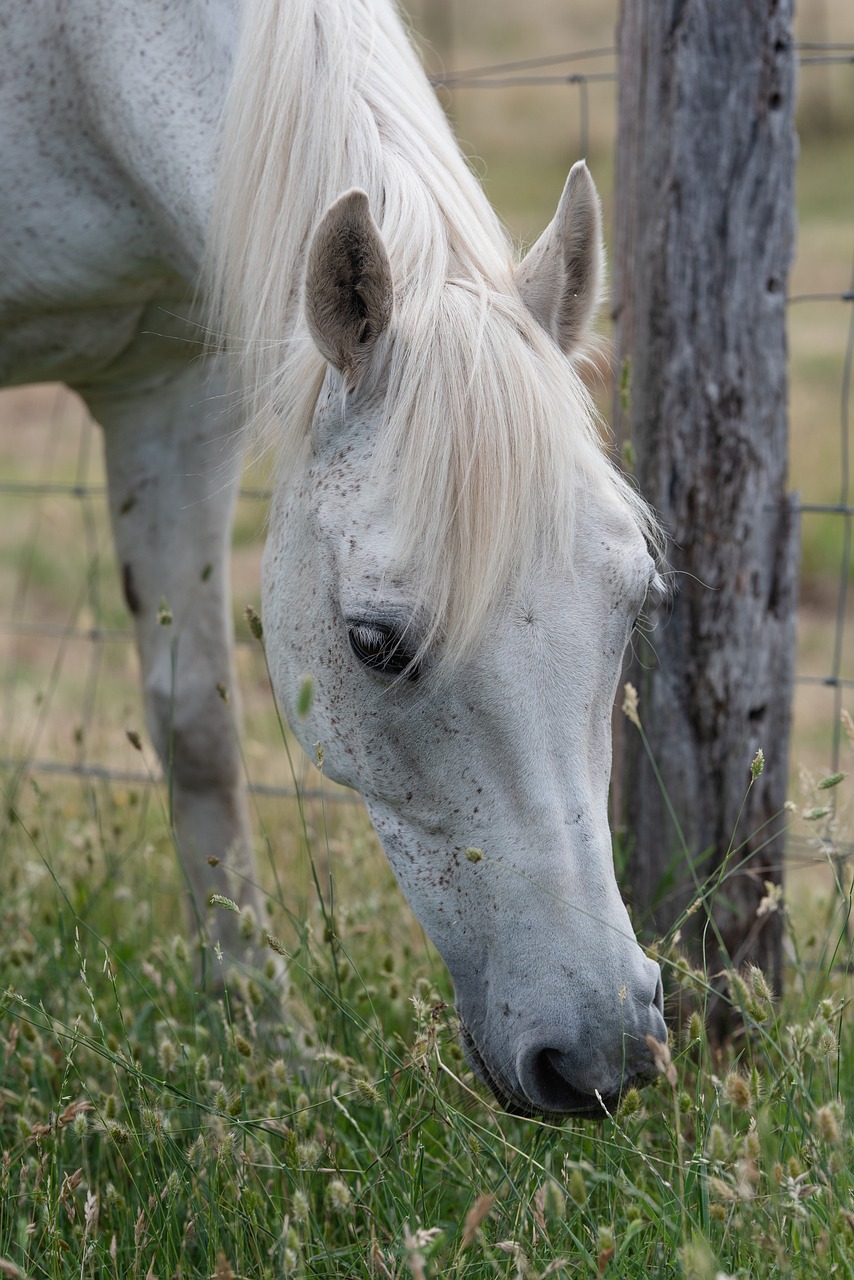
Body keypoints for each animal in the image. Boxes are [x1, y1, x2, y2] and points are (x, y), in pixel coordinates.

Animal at [0, 0, 665, 1116]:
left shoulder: (167, 397)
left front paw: (264, 1039)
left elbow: (197, 733)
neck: (79, 54)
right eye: (373, 643)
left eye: (635, 601)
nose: (601, 1051)